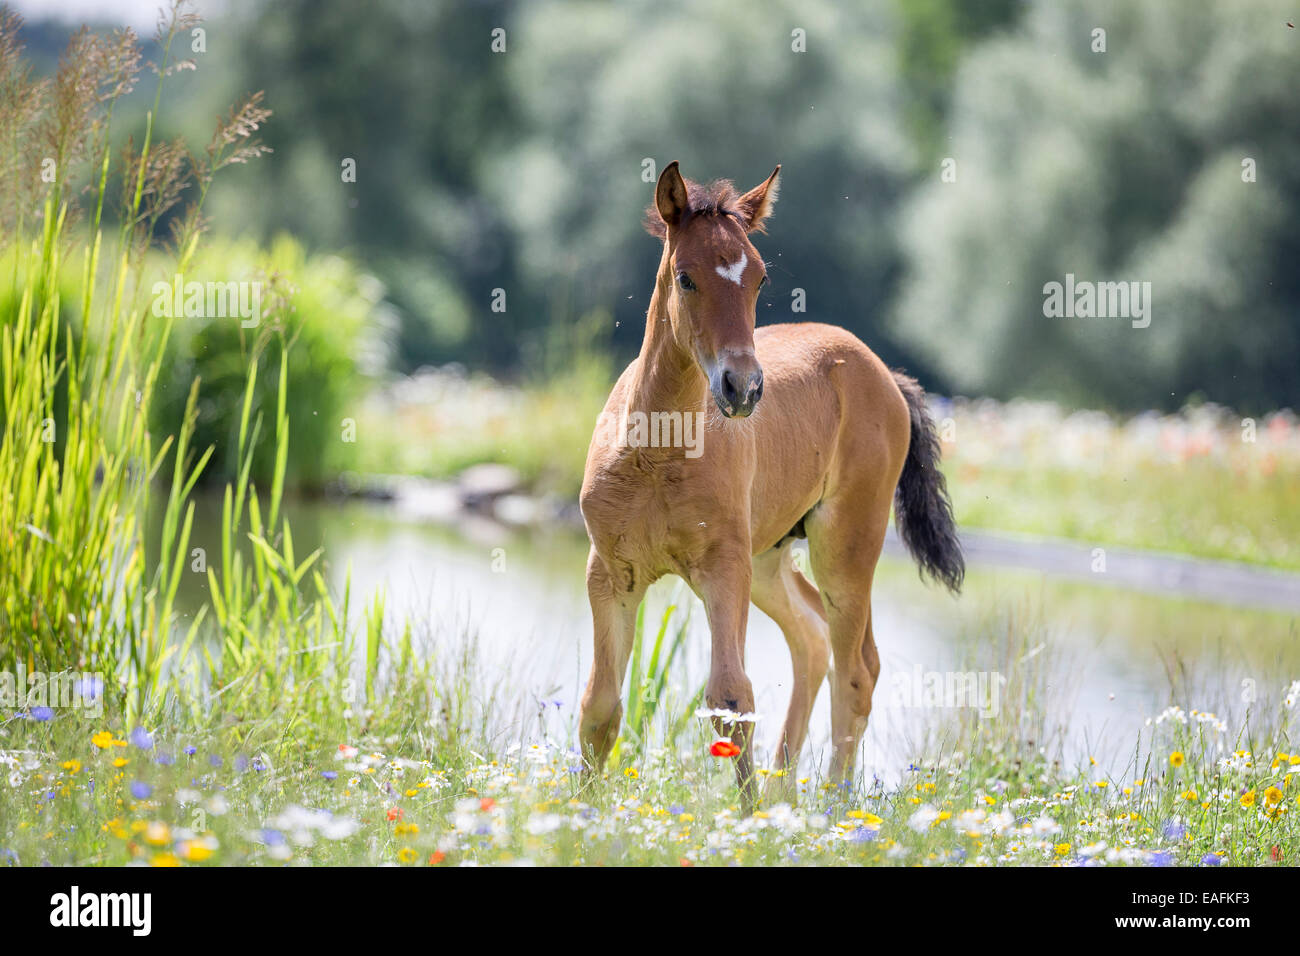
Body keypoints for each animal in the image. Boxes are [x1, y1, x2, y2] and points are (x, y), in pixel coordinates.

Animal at [579, 162, 967, 806]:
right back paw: (784, 794)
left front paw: (744, 817)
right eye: (685, 278)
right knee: (812, 639)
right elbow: (600, 706)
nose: (744, 387)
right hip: (768, 559)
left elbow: (731, 697)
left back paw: (832, 808)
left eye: (759, 279)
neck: (657, 453)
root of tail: (886, 375)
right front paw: (575, 811)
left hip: (843, 545)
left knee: (857, 667)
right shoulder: (611, 573)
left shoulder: (722, 568)